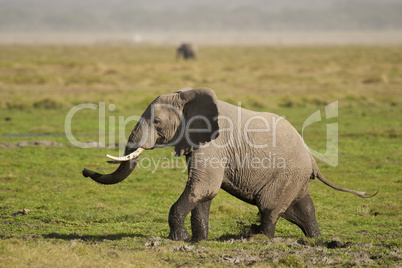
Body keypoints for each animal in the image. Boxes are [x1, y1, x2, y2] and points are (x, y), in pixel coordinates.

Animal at [82, 87, 376, 242]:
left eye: (156, 122)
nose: (85, 171)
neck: (186, 98)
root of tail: (312, 159)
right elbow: (203, 192)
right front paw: (199, 241)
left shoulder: (215, 143)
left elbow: (203, 186)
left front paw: (178, 239)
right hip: (295, 177)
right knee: (302, 208)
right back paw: (315, 239)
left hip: (287, 174)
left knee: (269, 208)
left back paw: (260, 239)